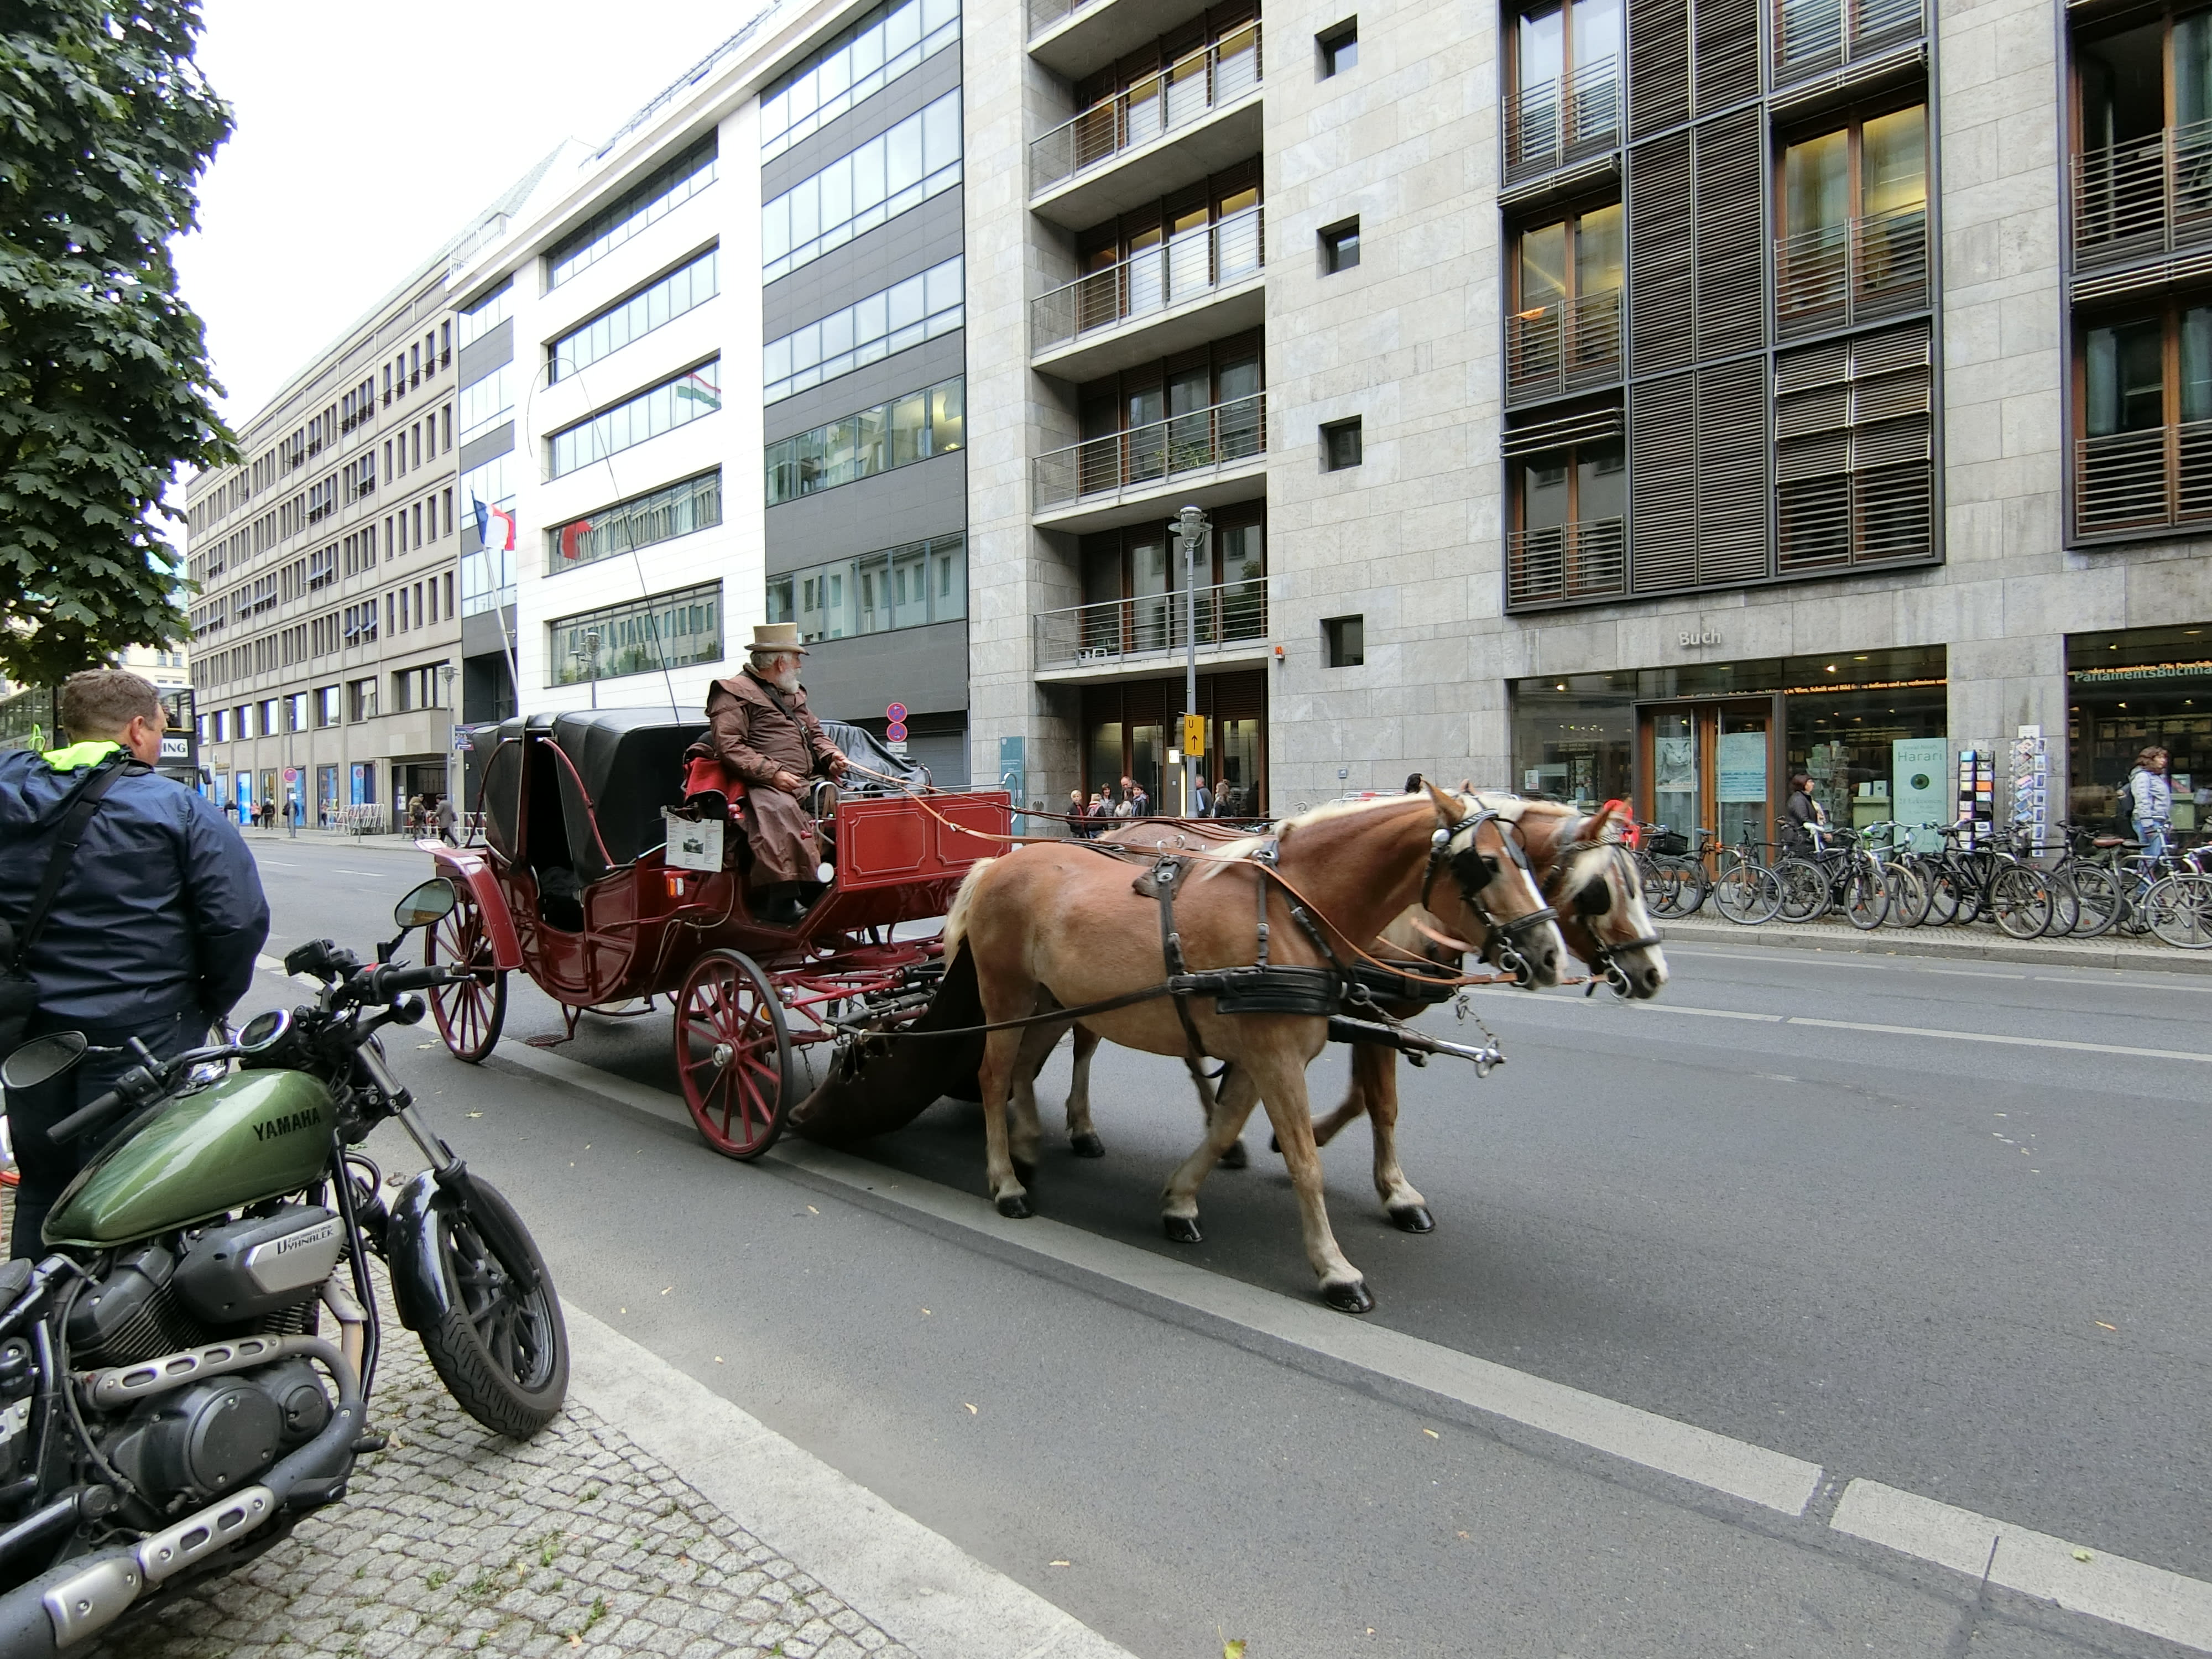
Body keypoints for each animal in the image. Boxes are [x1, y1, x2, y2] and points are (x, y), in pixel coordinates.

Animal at [942, 787, 1566, 1318]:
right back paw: (1006, 1182)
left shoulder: (1259, 1056)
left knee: (1026, 1069)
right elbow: (1305, 1162)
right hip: (1007, 994)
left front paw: (1180, 1202)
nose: (1551, 955)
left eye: (1528, 861)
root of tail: (998, 863)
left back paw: (1028, 1146)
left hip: (1052, 1003)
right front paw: (1335, 1269)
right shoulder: (1277, 1058)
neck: (1294, 913)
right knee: (994, 1076)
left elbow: (1224, 1128)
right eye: (1485, 864)